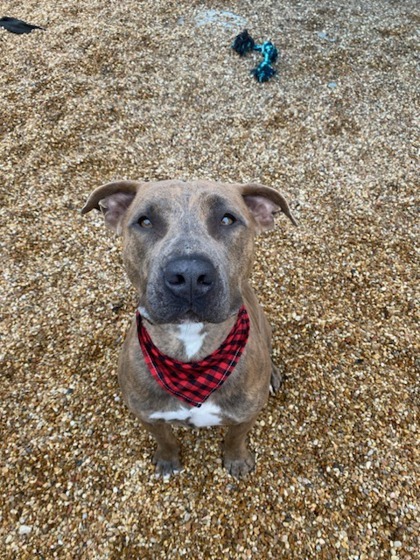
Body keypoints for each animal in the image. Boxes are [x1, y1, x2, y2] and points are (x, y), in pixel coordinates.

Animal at [82, 179, 296, 476]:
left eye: (227, 219)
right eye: (145, 221)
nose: (190, 274)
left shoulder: (246, 415)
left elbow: (236, 437)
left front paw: (237, 459)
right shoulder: (147, 415)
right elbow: (164, 438)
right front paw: (168, 460)